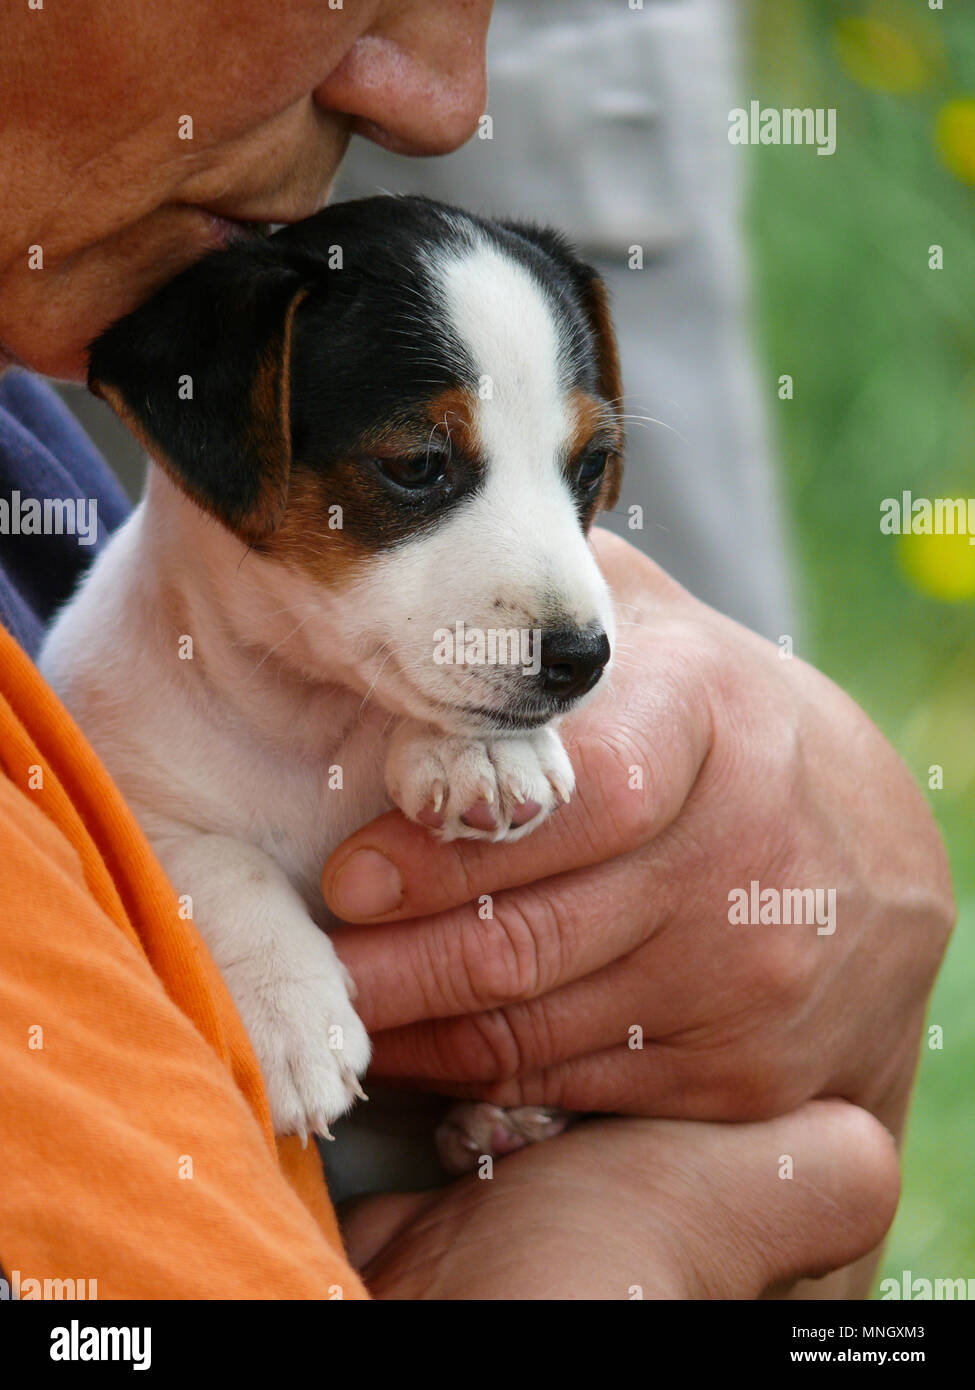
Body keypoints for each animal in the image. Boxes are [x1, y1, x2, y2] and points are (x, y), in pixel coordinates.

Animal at [38, 195, 623, 1173]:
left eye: (587, 466)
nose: (583, 659)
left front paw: (481, 755)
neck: (303, 713)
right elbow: (218, 864)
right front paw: (285, 1015)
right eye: (418, 464)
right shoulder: (126, 786)